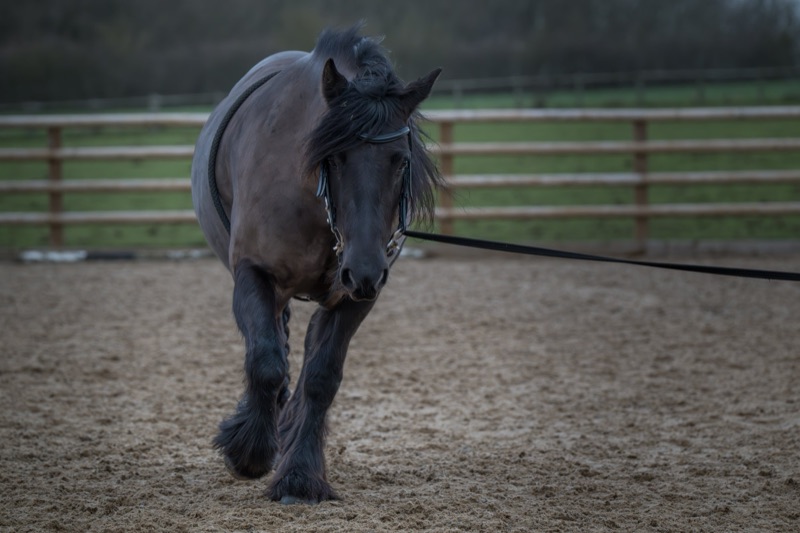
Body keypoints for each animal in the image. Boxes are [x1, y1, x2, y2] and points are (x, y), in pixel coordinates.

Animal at [190, 25, 442, 504]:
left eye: (400, 160)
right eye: (335, 157)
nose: (365, 268)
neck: (315, 206)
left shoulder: (356, 296)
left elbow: (322, 377)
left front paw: (300, 476)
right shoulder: (253, 275)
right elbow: (266, 362)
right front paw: (250, 450)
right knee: (276, 344)